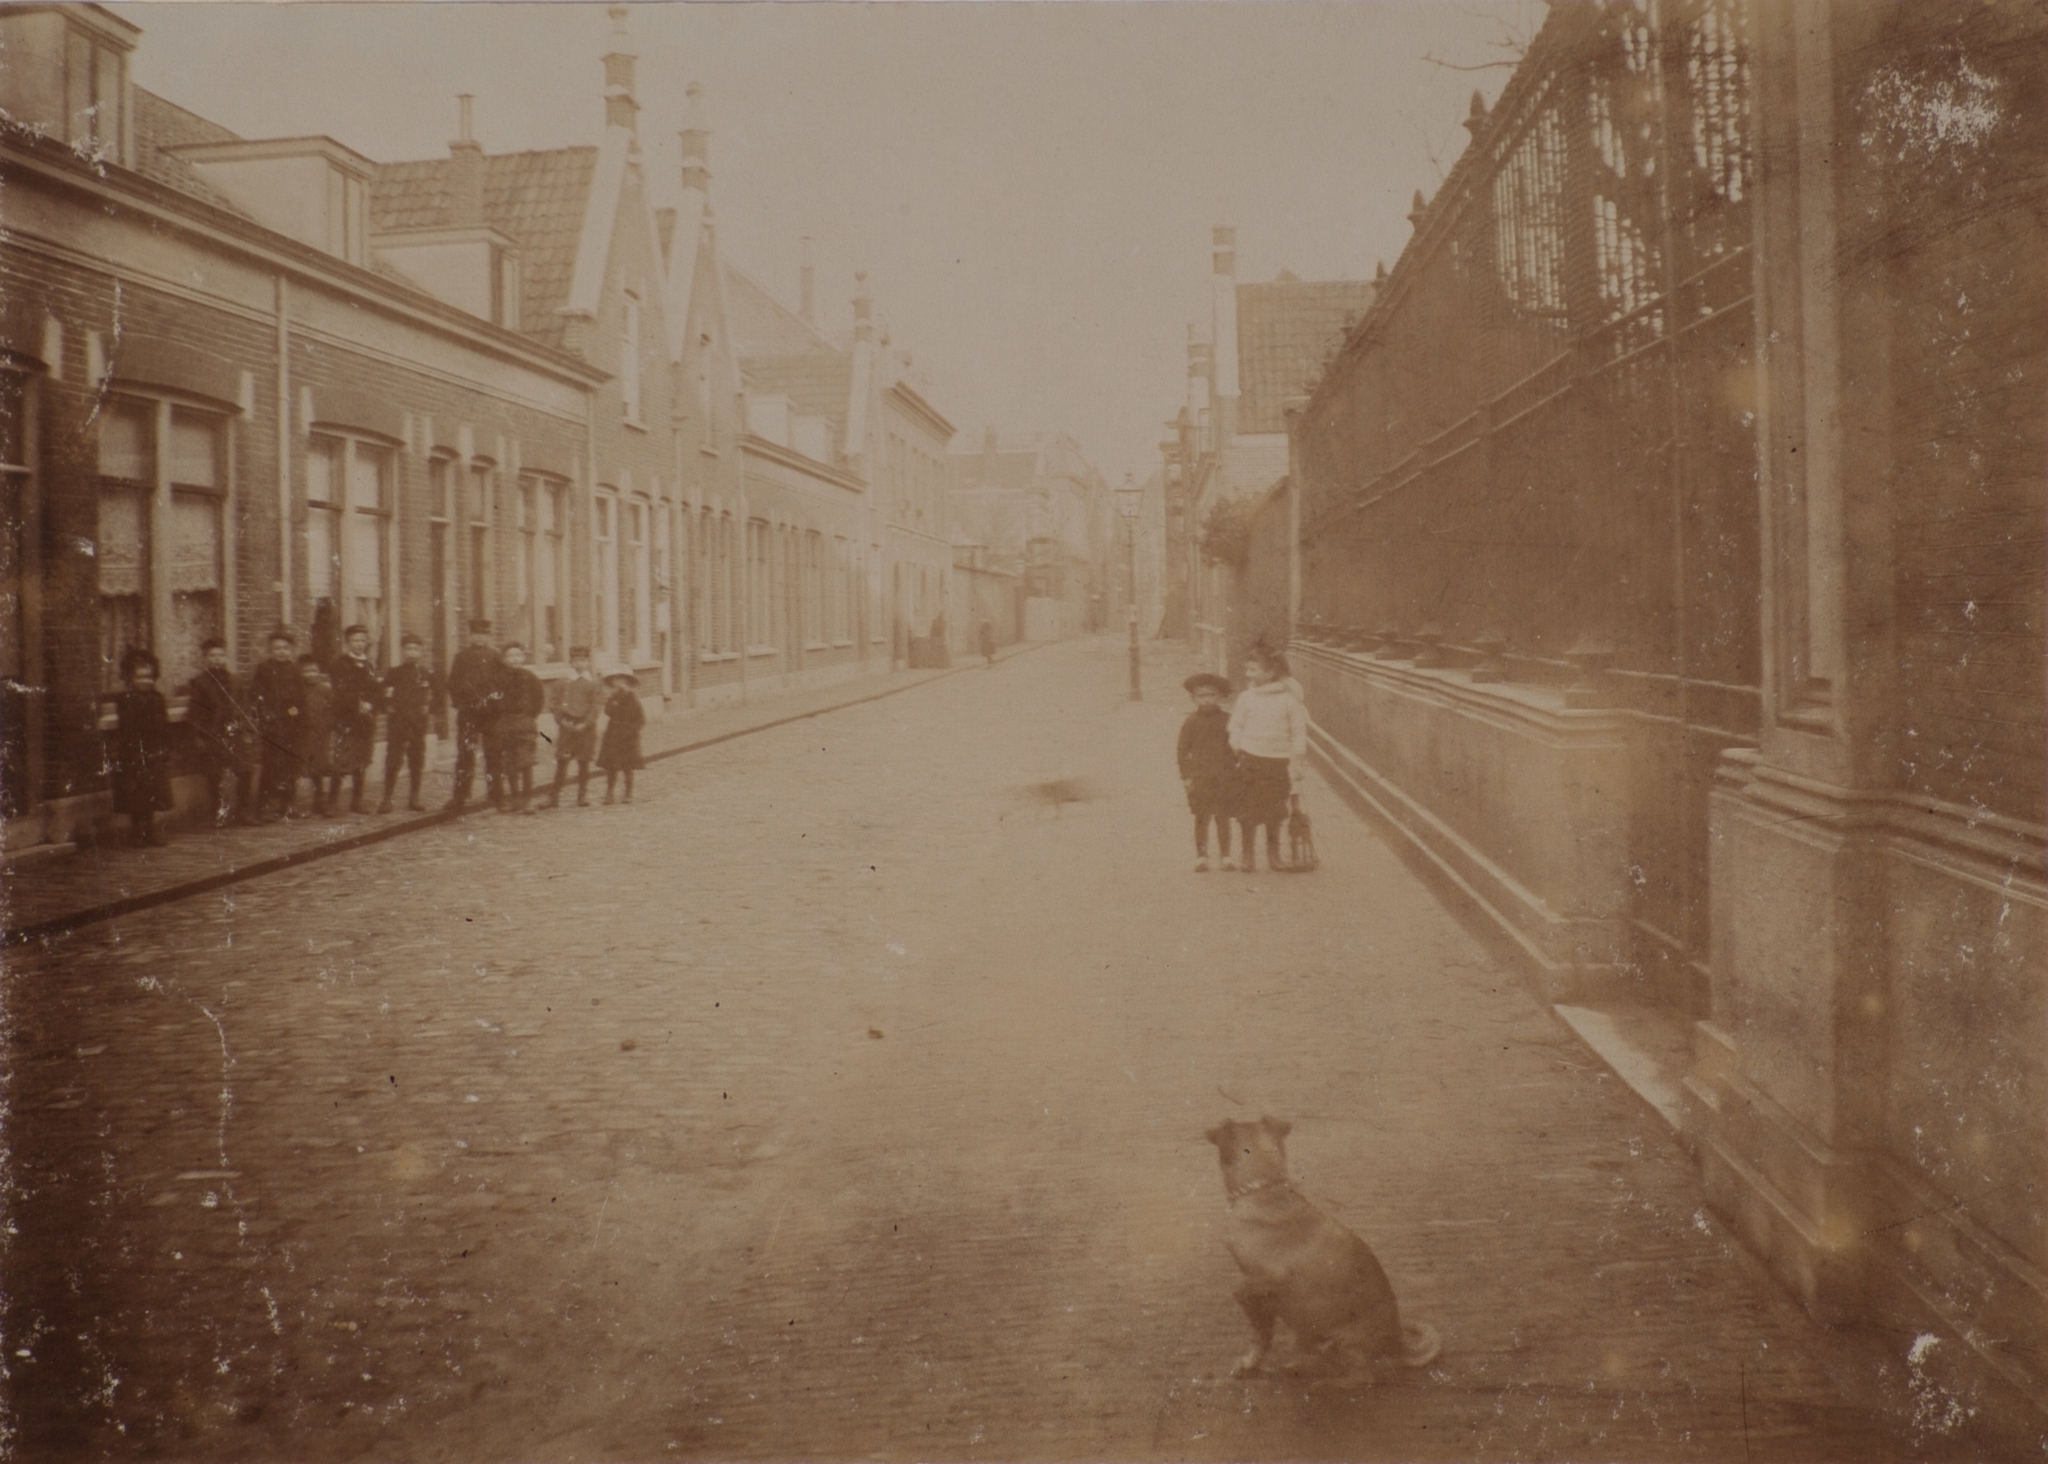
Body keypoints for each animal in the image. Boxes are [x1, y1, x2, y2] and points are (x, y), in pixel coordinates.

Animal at [1205, 1116, 1439, 1384]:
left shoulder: (1261, 1285)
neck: (1264, 1189)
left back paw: (1326, 1381)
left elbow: (1258, 1331)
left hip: (1346, 1340)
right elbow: (1262, 1335)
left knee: (1360, 1376)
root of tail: (1399, 1348)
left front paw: (1250, 1361)